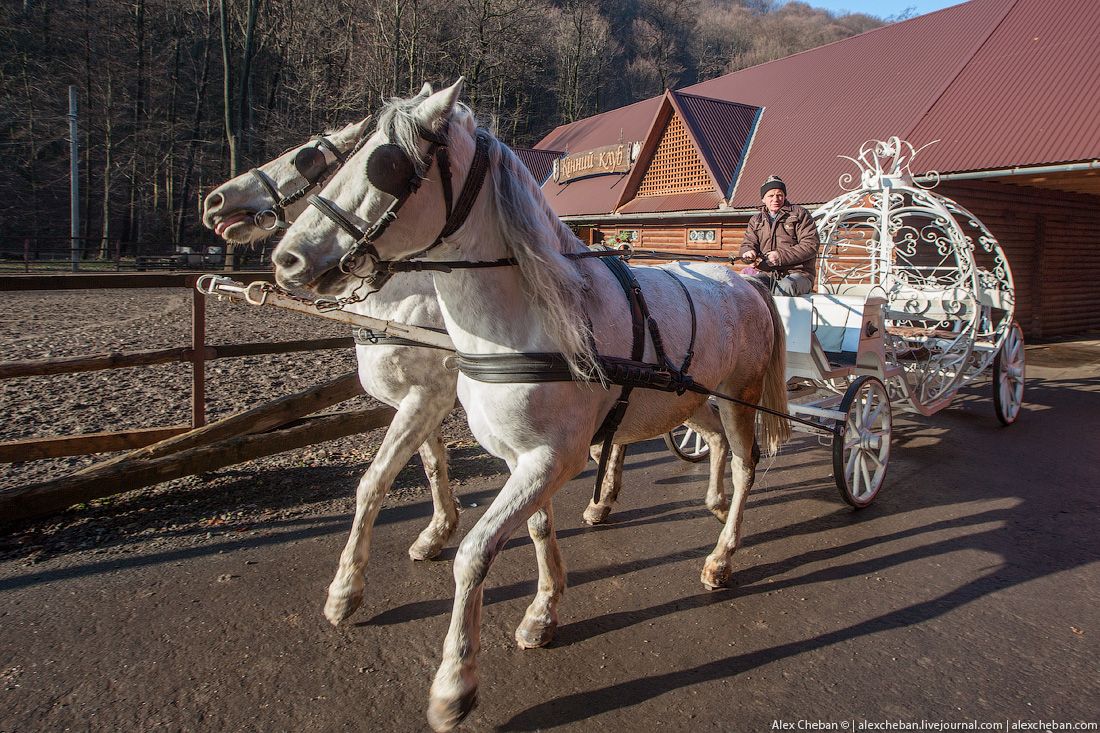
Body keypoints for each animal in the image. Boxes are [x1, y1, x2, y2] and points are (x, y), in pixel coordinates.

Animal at [201, 105, 730, 625]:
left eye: (308, 158)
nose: (214, 202)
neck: (406, 298)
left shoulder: (427, 396)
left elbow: (375, 480)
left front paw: (346, 588)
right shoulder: (427, 399)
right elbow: (433, 463)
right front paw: (438, 532)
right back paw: (610, 499)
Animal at [271, 81, 792, 730]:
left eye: (386, 166)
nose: (287, 258)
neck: (530, 320)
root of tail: (748, 281)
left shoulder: (549, 459)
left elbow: (474, 554)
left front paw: (455, 682)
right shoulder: (523, 457)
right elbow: (540, 528)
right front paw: (544, 611)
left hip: (738, 400)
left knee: (747, 466)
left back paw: (722, 556)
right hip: (692, 400)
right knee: (716, 445)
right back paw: (710, 502)